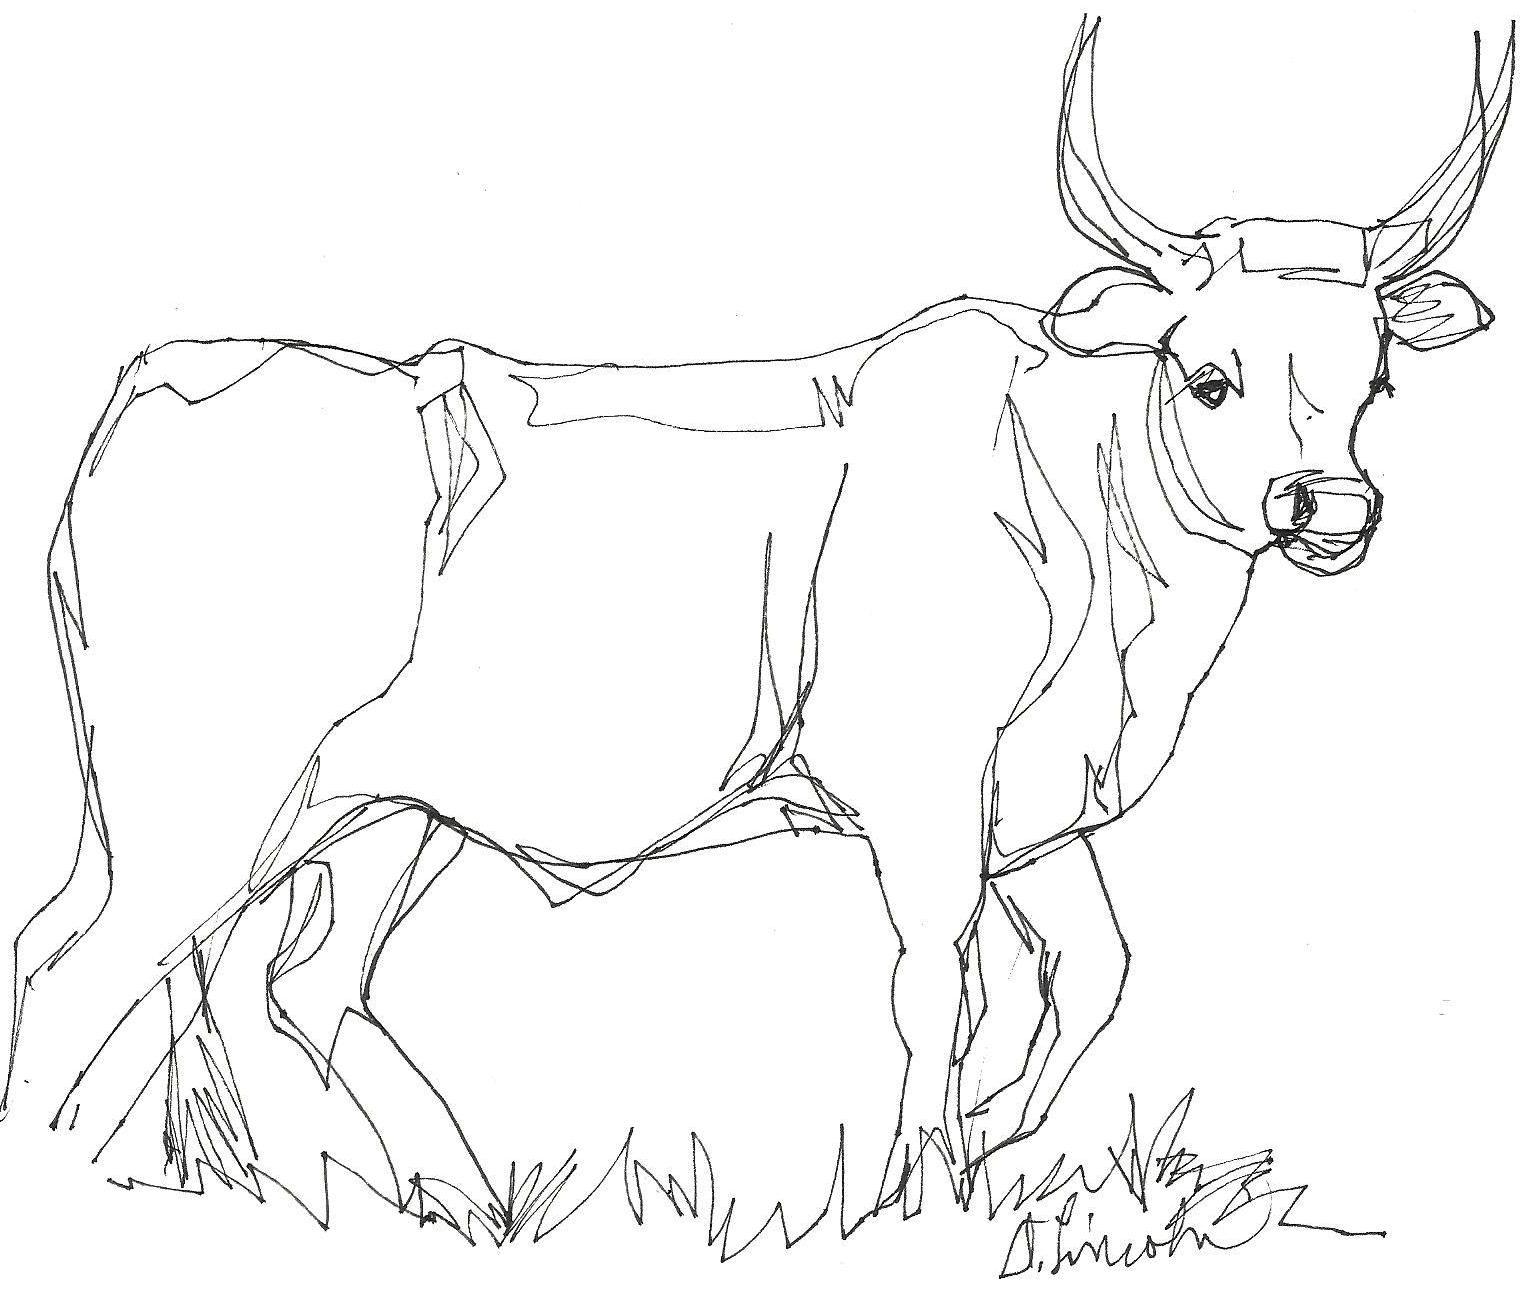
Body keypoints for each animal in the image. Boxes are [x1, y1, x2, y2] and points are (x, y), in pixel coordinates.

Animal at [4, 19, 1513, 1227]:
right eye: (1207, 376)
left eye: (1373, 378)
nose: (1328, 507)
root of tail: (173, 372)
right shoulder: (919, 788)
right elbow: (938, 988)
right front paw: (923, 1192)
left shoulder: (1027, 808)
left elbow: (1091, 973)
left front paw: (988, 1138)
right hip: (200, 794)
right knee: (91, 967)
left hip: (366, 808)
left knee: (268, 981)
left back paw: (444, 1197)